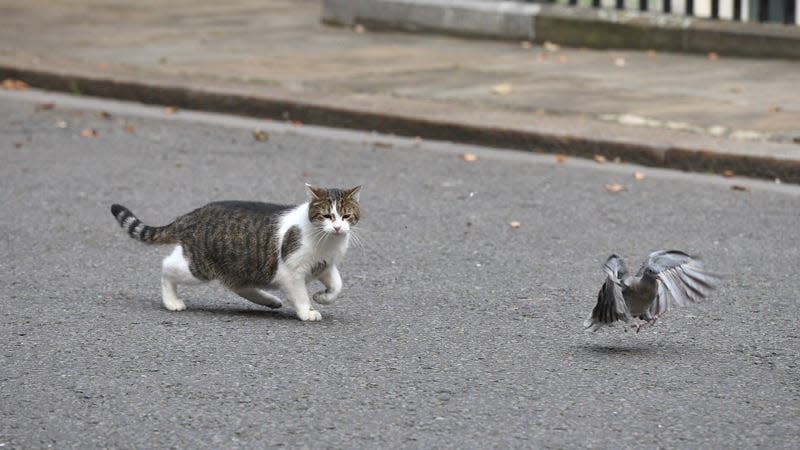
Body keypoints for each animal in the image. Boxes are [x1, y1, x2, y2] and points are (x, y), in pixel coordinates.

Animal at [109, 185, 360, 322]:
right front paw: (307, 311)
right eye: (327, 216)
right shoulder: (292, 272)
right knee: (166, 266)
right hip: (198, 267)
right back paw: (172, 301)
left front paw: (323, 297)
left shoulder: (325, 265)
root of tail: (193, 214)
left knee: (238, 285)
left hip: (241, 265)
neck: (328, 242)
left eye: (346, 216)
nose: (338, 227)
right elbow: (300, 295)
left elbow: (337, 286)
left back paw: (268, 300)